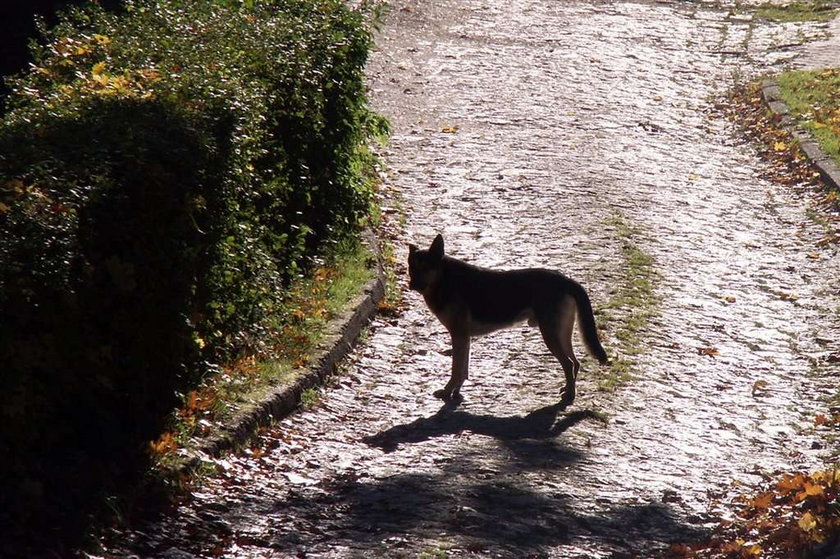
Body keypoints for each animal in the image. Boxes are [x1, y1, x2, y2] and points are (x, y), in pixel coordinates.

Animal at [406, 234, 608, 404]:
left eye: (426, 267)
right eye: (411, 268)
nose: (412, 284)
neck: (444, 279)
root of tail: (567, 280)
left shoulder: (459, 336)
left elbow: (456, 370)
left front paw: (447, 392)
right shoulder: (464, 338)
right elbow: (463, 370)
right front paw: (457, 393)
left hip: (551, 335)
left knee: (568, 363)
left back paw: (569, 395)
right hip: (562, 334)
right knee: (575, 362)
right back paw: (567, 389)